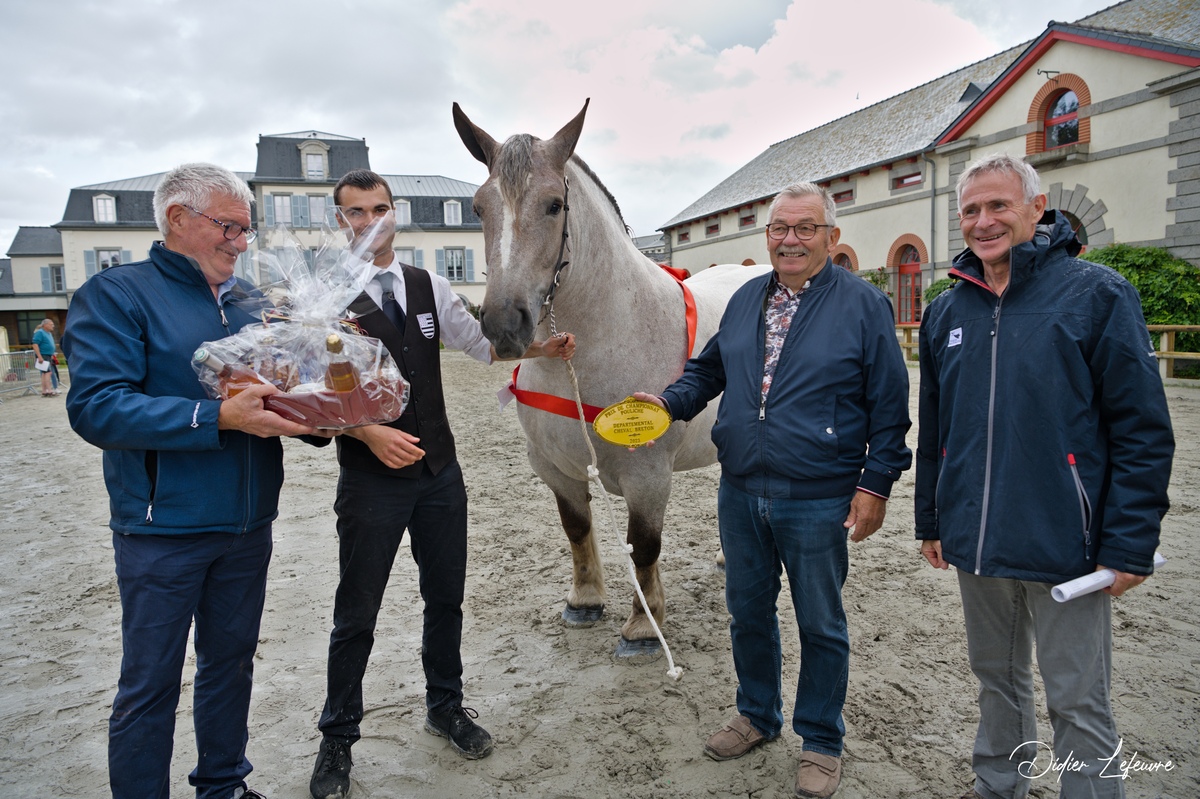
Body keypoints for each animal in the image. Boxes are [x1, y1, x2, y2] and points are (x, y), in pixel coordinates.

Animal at [451, 99, 768, 652]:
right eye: (477, 208)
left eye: (555, 204)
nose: (504, 324)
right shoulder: (553, 467)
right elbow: (577, 529)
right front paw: (585, 600)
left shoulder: (648, 475)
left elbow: (644, 545)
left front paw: (645, 624)